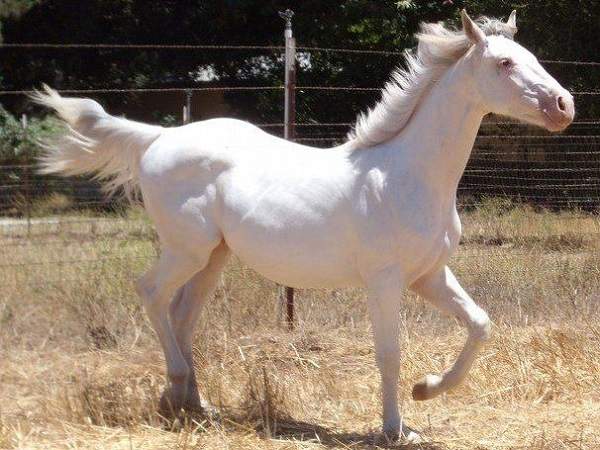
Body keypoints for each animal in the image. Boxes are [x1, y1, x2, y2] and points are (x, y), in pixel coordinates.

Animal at [32, 9, 572, 440]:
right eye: (505, 63)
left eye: (529, 55)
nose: (564, 106)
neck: (407, 174)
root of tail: (158, 138)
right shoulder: (385, 280)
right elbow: (390, 352)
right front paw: (396, 428)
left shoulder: (429, 275)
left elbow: (480, 324)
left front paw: (426, 389)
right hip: (187, 249)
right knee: (151, 294)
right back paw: (178, 390)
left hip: (214, 257)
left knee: (182, 314)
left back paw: (193, 404)